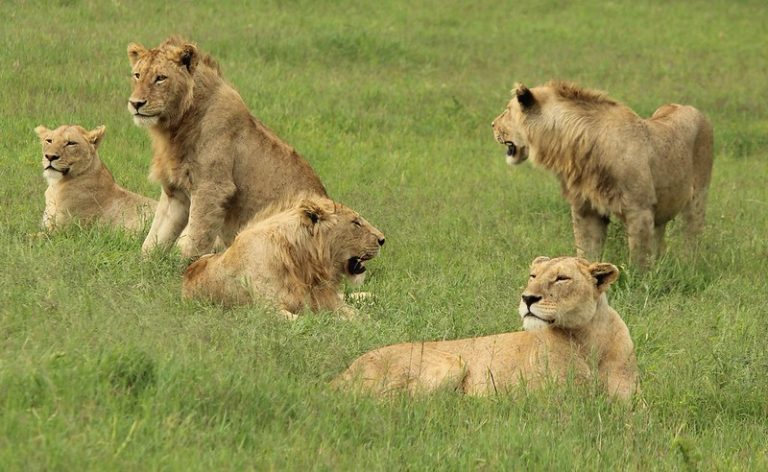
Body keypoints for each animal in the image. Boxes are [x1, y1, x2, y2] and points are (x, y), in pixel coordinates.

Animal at [127, 36, 327, 258]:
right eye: (137, 75)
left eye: (161, 78)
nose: (135, 103)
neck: (175, 127)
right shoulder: (176, 193)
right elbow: (154, 238)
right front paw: (142, 263)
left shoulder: (212, 187)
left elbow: (195, 240)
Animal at [182, 195, 385, 319]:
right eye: (356, 223)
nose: (383, 239)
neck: (304, 266)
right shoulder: (266, 309)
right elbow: (307, 320)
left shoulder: (329, 300)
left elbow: (360, 317)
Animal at [333, 256, 638, 402]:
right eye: (533, 275)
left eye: (562, 278)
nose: (528, 298)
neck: (590, 339)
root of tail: (342, 373)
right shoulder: (551, 399)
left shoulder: (630, 401)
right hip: (452, 361)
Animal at [492, 81, 714, 268]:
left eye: (507, 111)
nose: (492, 125)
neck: (571, 147)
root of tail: (690, 107)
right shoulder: (586, 209)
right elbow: (587, 250)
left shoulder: (639, 209)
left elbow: (639, 257)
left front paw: (640, 284)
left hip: (697, 197)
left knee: (692, 235)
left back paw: (688, 266)